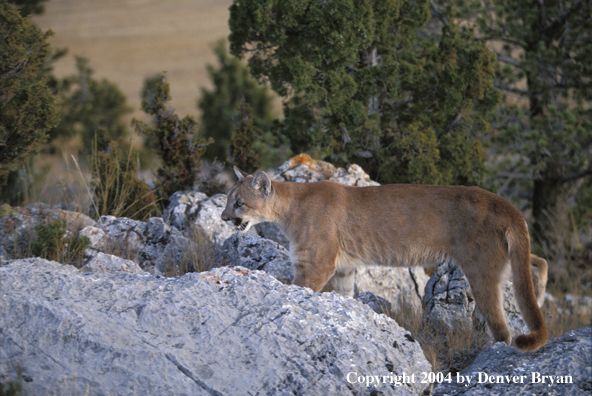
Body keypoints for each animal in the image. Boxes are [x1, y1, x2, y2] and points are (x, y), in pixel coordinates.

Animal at [222, 167, 552, 352]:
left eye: (239, 203)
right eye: (226, 199)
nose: (223, 217)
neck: (290, 205)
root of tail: (506, 204)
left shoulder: (315, 265)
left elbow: (298, 289)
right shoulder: (343, 269)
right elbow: (345, 298)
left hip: (481, 270)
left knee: (503, 329)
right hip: (504, 262)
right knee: (535, 264)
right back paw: (540, 290)